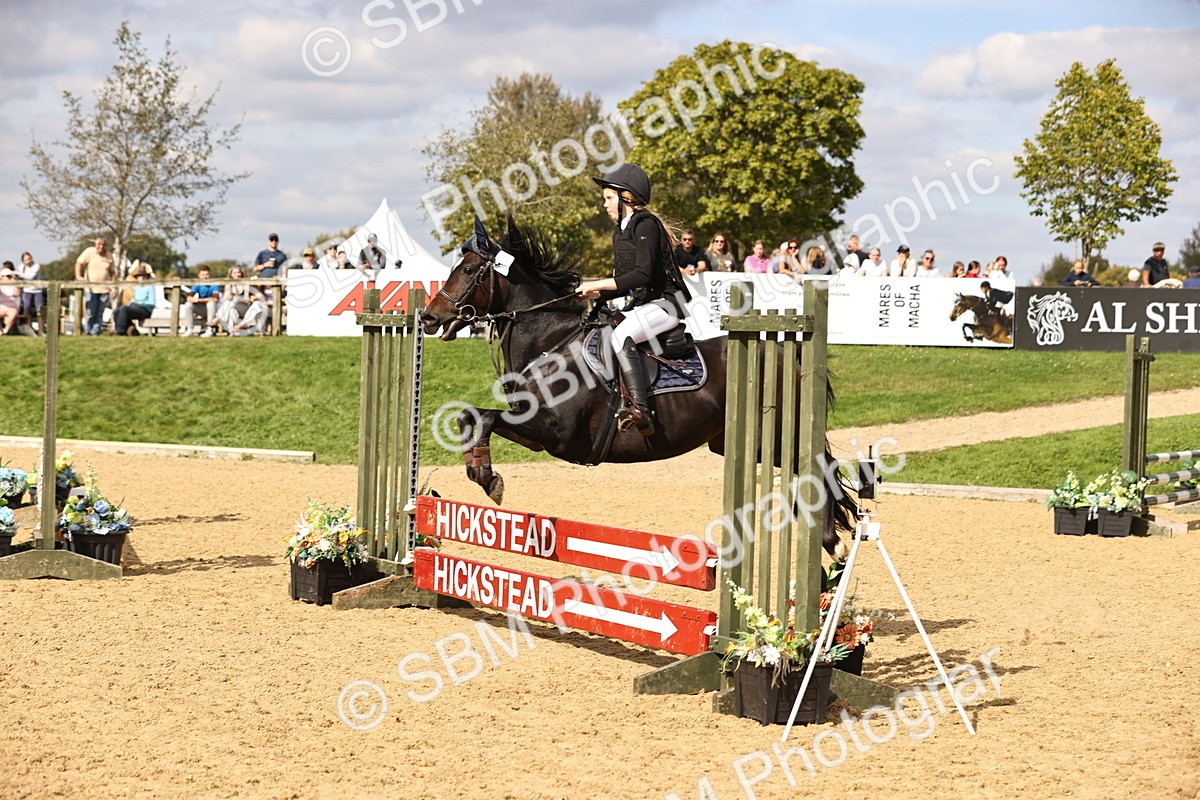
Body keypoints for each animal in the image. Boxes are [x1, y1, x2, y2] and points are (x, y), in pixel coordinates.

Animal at [419, 216, 857, 557]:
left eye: (469, 271)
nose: (427, 317)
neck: (551, 342)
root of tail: (785, 354)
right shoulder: (536, 432)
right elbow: (472, 416)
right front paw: (480, 471)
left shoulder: (556, 434)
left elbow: (486, 416)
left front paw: (488, 478)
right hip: (744, 442)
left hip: (778, 432)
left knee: (822, 466)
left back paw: (832, 542)